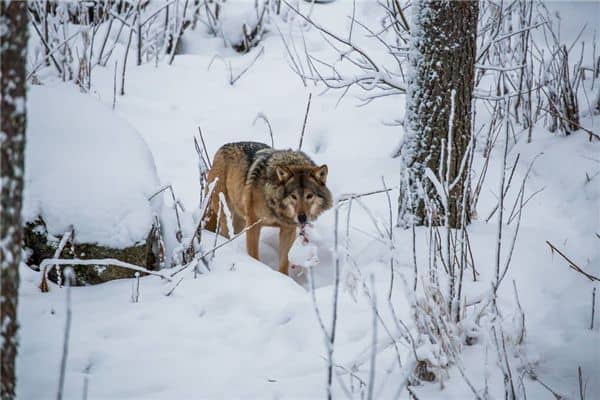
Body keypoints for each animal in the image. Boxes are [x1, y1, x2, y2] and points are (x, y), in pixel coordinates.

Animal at [204, 141, 330, 276]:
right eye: (294, 196)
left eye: (309, 196)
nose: (302, 218)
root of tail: (221, 148)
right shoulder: (253, 224)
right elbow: (254, 255)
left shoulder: (288, 229)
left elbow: (284, 261)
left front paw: (284, 278)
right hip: (224, 213)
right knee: (224, 234)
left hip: (239, 222)